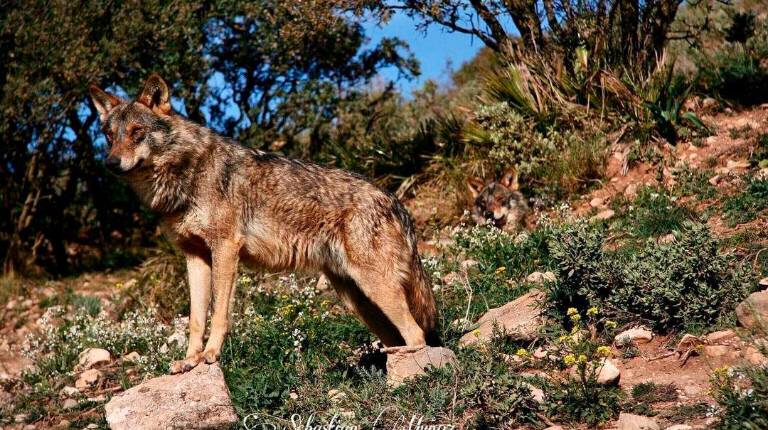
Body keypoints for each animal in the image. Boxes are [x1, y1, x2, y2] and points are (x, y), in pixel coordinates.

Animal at [89, 74, 439, 374]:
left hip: (376, 289)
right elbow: (196, 319)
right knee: (398, 337)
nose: (110, 163)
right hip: (358, 300)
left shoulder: (225, 248)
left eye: (137, 132)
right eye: (109, 136)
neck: (185, 172)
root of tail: (395, 201)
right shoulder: (194, 257)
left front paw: (210, 355)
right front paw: (188, 361)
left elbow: (219, 313)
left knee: (417, 334)